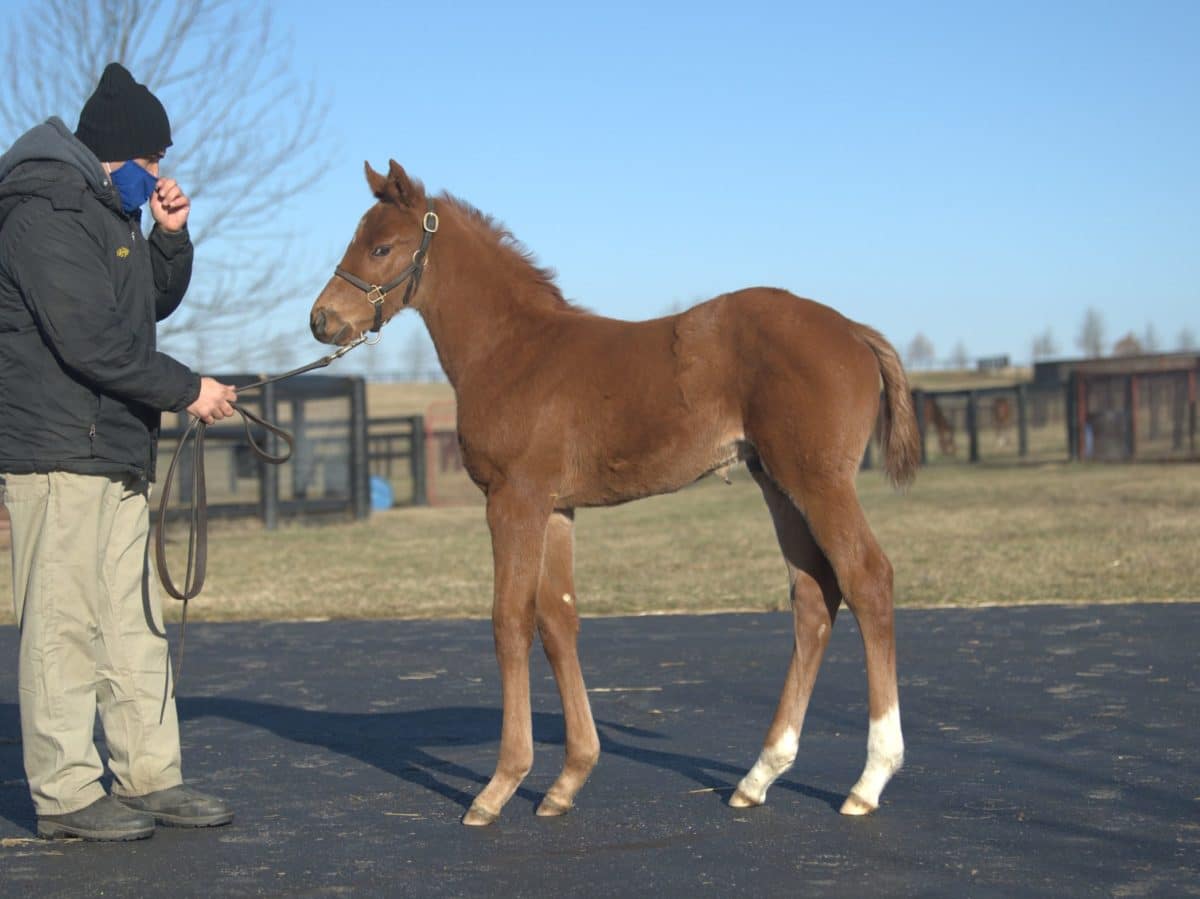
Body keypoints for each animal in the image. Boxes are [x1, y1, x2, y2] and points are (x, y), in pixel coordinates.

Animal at [307, 163, 916, 825]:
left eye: (381, 247)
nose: (321, 320)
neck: (514, 350)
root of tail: (854, 330)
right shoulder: (556, 507)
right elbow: (557, 620)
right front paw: (568, 779)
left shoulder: (513, 499)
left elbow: (509, 620)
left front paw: (499, 785)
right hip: (778, 484)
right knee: (813, 596)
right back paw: (759, 774)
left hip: (818, 481)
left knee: (868, 578)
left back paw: (869, 779)